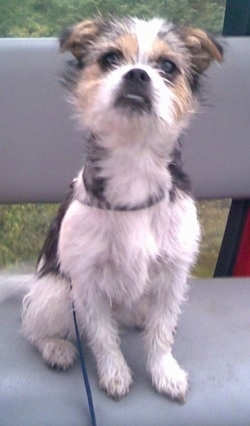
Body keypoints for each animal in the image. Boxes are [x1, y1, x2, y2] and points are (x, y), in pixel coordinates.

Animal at [12, 16, 223, 402]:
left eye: (167, 66)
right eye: (110, 58)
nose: (137, 74)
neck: (133, 165)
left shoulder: (172, 275)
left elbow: (161, 333)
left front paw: (165, 372)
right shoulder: (87, 284)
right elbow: (103, 336)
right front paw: (115, 374)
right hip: (55, 294)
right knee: (33, 326)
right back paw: (56, 348)